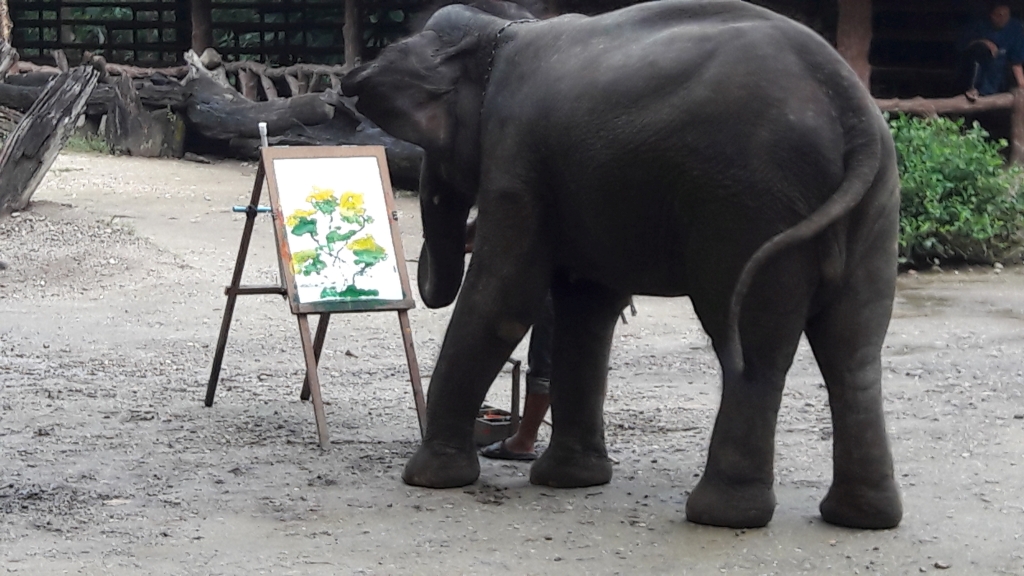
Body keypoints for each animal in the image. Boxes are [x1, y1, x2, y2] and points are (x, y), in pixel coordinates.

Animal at [341, 0, 902, 530]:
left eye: (428, 147)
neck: (501, 29)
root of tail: (850, 107)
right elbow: (587, 307)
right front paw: (571, 481)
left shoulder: (516, 157)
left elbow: (506, 297)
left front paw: (427, 479)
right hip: (875, 205)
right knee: (854, 348)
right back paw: (861, 517)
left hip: (750, 203)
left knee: (754, 349)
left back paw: (722, 515)